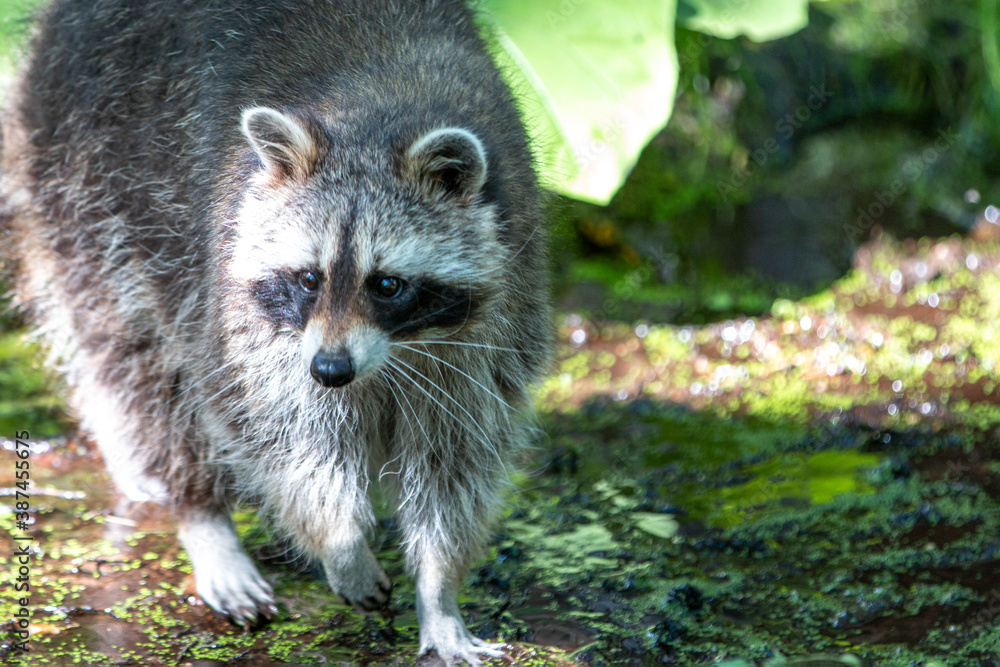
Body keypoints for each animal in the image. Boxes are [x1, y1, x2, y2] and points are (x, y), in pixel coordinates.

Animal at [0, 0, 550, 664]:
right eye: (309, 278)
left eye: (387, 285)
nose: (331, 371)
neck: (372, 111)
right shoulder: (244, 314)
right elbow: (279, 436)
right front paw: (340, 542)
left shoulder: (494, 321)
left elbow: (456, 460)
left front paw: (439, 592)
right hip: (82, 178)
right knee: (136, 364)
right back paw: (200, 512)